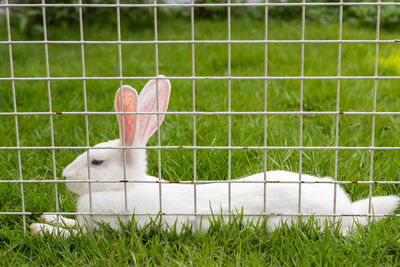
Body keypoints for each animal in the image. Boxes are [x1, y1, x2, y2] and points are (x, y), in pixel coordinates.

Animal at [28, 76, 400, 238]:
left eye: (97, 162)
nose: (65, 176)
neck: (125, 187)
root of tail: (347, 211)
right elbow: (70, 221)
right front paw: (48, 217)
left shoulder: (106, 230)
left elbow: (77, 234)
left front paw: (39, 229)